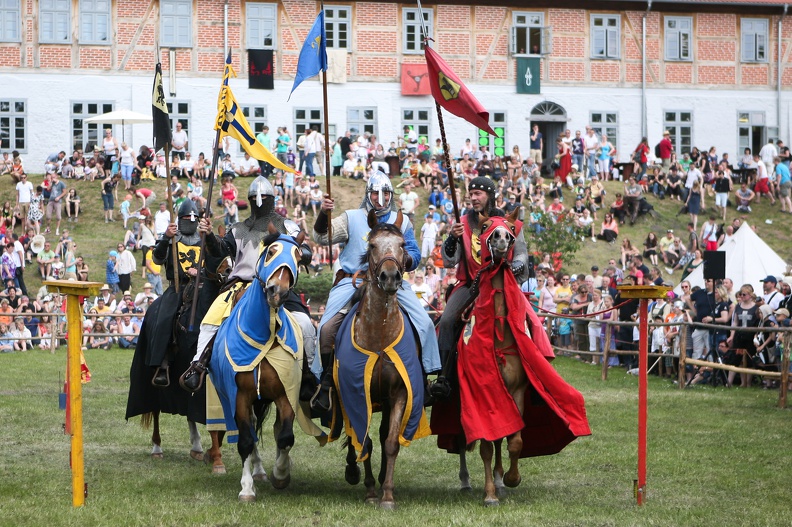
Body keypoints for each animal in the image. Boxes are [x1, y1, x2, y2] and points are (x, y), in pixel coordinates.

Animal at [209, 229, 326, 502]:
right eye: (271, 251)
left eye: (298, 256)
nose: (277, 292)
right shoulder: (239, 397)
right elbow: (245, 440)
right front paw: (247, 488)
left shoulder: (286, 393)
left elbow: (285, 436)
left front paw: (281, 474)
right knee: (252, 431)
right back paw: (257, 470)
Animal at [330, 211, 430, 512]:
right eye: (373, 245)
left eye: (401, 245)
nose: (390, 277)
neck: (378, 337)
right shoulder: (353, 391)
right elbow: (364, 441)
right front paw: (370, 489)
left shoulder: (399, 394)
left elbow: (390, 442)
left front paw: (387, 494)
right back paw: (354, 470)